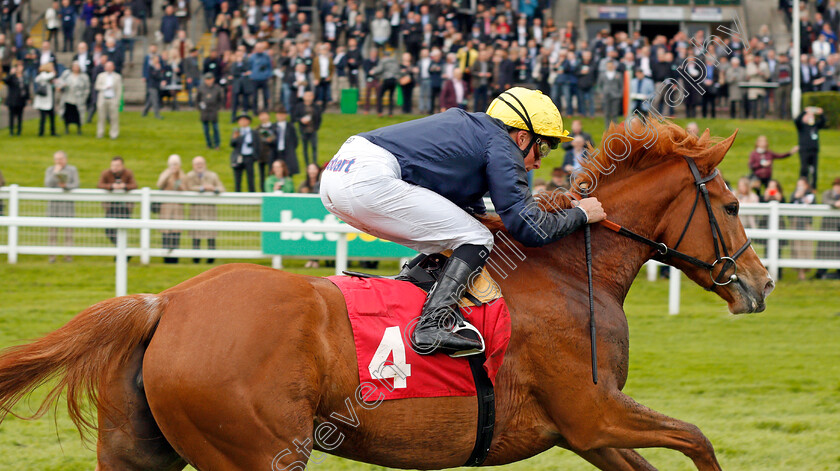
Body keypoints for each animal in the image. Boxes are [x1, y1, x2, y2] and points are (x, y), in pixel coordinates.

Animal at [0, 122, 776, 471]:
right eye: (735, 203)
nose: (760, 283)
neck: (567, 271)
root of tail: (166, 304)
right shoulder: (592, 412)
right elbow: (698, 439)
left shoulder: (582, 432)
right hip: (257, 451)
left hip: (143, 451)